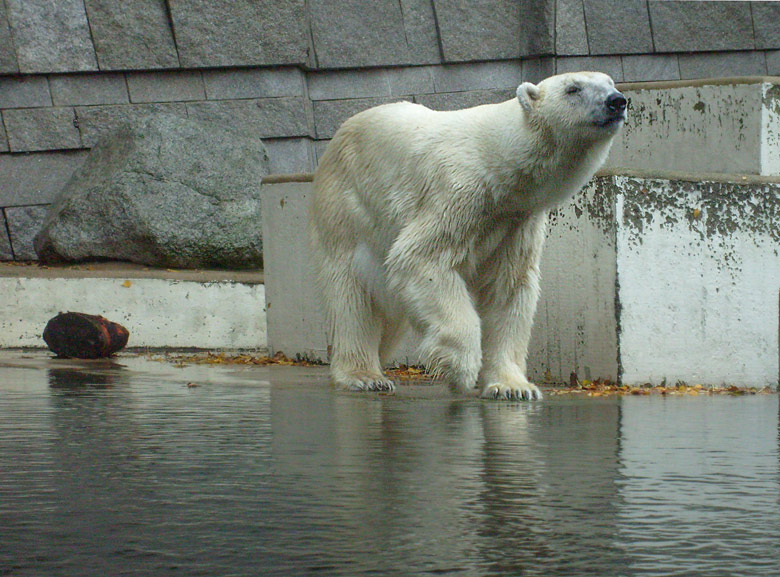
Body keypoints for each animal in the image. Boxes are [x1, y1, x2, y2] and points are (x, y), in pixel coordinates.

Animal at [310, 72, 628, 400]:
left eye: (609, 82)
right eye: (573, 89)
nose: (617, 101)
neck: (498, 161)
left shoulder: (516, 221)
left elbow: (508, 288)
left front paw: (513, 387)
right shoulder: (458, 194)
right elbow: (421, 259)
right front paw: (458, 369)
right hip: (347, 210)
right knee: (352, 295)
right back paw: (364, 375)